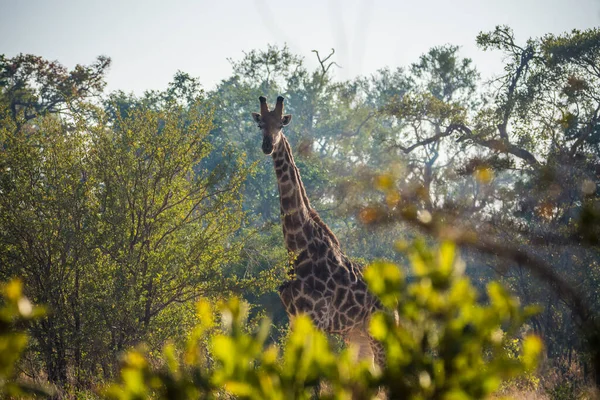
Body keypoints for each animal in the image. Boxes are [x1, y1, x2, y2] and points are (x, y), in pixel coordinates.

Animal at [252, 95, 384, 368]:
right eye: (261, 125)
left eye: (280, 125)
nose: (267, 146)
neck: (299, 248)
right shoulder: (295, 318)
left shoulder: (318, 319)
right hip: (356, 334)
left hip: (379, 328)